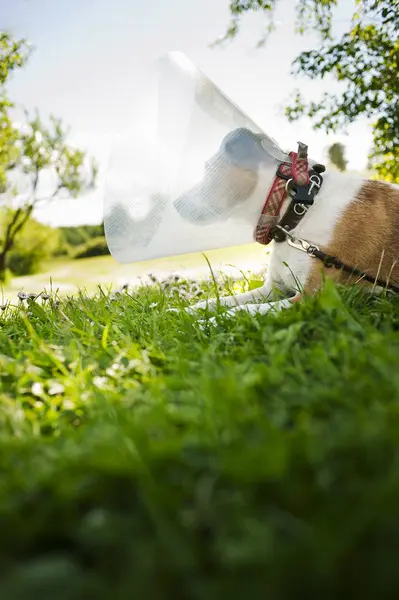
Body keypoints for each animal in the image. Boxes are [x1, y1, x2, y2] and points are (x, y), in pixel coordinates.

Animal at [176, 126, 399, 318]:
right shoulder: (273, 289)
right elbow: (218, 302)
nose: (176, 204)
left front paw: (205, 324)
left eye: (209, 170)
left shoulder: (312, 297)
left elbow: (239, 311)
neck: (298, 208)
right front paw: (181, 313)